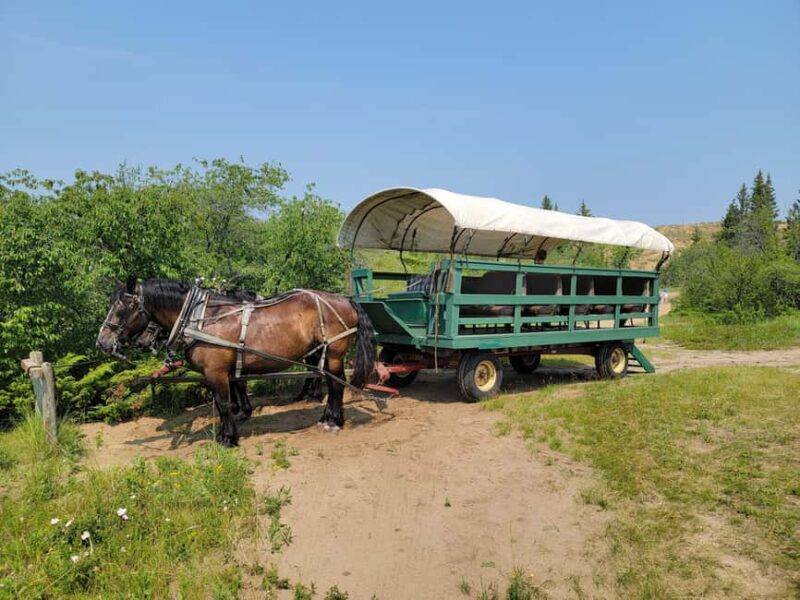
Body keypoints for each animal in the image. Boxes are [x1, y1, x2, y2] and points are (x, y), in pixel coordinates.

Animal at [96, 277, 376, 446]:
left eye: (121, 308)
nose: (102, 342)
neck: (199, 320)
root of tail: (346, 300)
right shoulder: (218, 374)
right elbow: (224, 403)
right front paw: (226, 431)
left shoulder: (216, 372)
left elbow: (223, 403)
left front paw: (228, 438)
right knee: (330, 384)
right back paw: (327, 416)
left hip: (334, 355)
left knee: (336, 386)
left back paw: (333, 421)